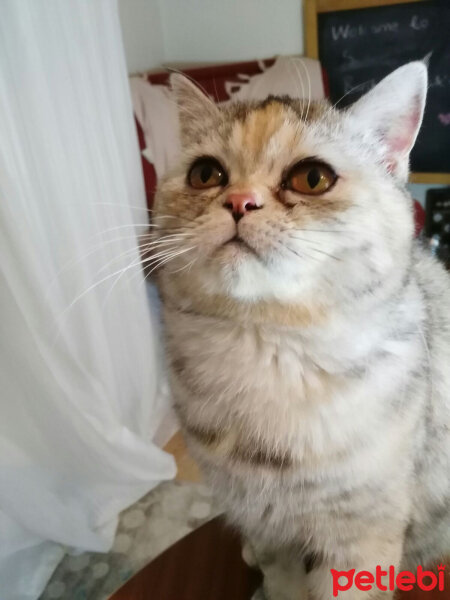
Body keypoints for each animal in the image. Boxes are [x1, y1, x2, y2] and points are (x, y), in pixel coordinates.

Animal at [152, 62, 450, 600]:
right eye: (206, 174)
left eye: (313, 178)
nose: (239, 201)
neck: (270, 347)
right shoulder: (263, 522)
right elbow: (281, 580)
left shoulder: (362, 536)